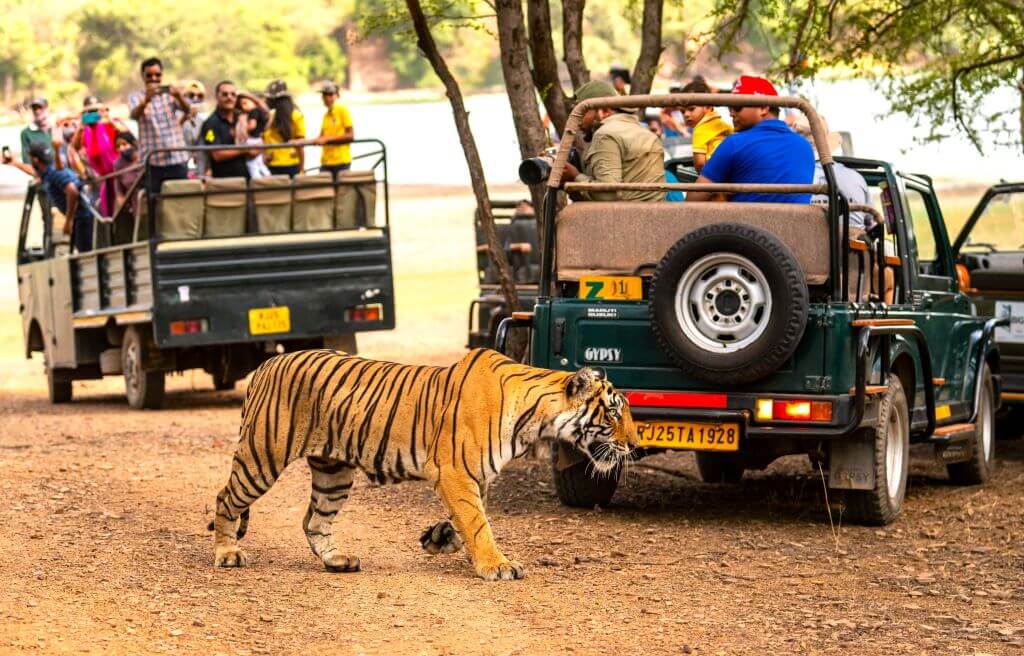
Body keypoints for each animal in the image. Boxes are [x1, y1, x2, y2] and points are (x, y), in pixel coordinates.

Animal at [211, 347, 637, 581]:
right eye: (614, 413)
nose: (634, 444)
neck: (535, 419)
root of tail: (267, 364)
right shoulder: (455, 471)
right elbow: (478, 523)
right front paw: (496, 565)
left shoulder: (474, 477)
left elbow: (469, 519)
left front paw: (440, 538)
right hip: (262, 456)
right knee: (225, 499)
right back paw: (227, 553)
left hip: (334, 472)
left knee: (313, 520)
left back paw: (337, 561)